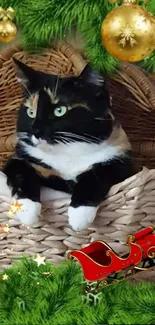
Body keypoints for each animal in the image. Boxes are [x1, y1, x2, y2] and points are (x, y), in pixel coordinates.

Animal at [2, 58, 133, 230]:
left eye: (60, 110)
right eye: (31, 112)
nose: (36, 130)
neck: (67, 153)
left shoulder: (121, 162)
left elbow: (97, 174)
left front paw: (79, 216)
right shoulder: (19, 158)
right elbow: (21, 172)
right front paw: (27, 211)